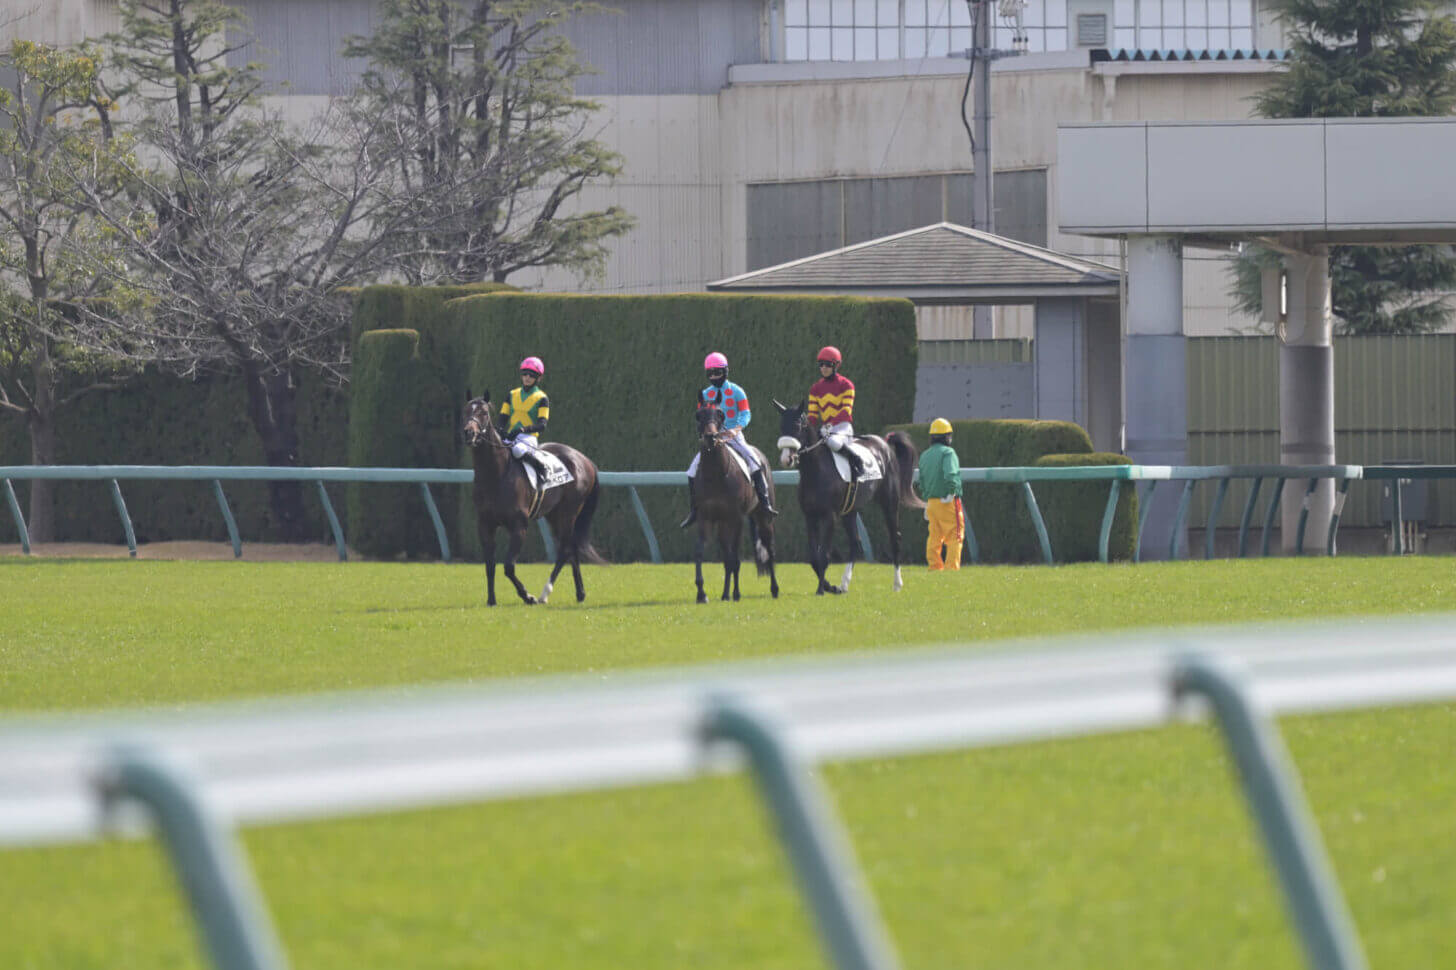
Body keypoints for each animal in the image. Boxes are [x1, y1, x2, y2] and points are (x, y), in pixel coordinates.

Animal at [465, 387, 602, 605]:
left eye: (484, 413)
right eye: (466, 410)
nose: (469, 433)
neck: (496, 475)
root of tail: (585, 460)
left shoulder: (519, 526)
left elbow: (509, 566)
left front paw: (527, 595)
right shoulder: (485, 525)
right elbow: (490, 565)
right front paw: (491, 600)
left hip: (568, 512)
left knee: (565, 550)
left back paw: (544, 594)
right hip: (555, 515)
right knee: (571, 548)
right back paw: (580, 593)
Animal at [690, 401, 780, 600]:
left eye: (720, 414)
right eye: (699, 415)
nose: (711, 437)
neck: (716, 475)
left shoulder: (736, 518)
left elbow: (735, 559)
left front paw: (736, 593)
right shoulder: (705, 518)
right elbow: (700, 552)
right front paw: (701, 593)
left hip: (763, 517)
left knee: (769, 549)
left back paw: (774, 589)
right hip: (723, 524)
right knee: (727, 556)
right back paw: (725, 593)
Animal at [774, 396, 920, 594]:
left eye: (797, 425)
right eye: (782, 425)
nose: (786, 459)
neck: (816, 471)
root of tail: (885, 444)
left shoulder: (829, 516)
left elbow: (824, 555)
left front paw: (821, 589)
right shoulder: (810, 516)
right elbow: (813, 557)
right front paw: (829, 586)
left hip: (889, 502)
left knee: (895, 538)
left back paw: (897, 584)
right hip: (850, 510)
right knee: (855, 543)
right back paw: (844, 584)